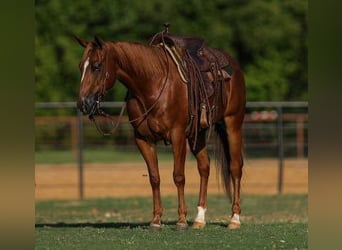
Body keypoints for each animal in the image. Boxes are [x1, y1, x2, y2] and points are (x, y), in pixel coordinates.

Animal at [75, 31, 246, 230]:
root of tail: (233, 64)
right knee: (204, 167)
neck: (151, 85)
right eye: (81, 67)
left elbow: (178, 176)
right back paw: (199, 218)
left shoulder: (177, 135)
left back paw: (234, 218)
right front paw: (156, 220)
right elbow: (154, 177)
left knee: (235, 167)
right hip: (198, 134)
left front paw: (181, 220)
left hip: (233, 123)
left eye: (97, 66)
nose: (83, 104)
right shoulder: (143, 139)